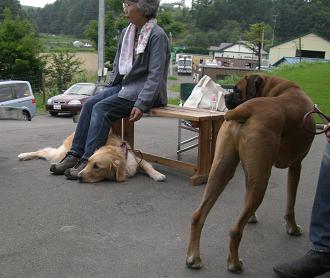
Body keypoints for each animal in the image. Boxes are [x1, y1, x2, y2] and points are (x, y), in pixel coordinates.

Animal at [187, 75, 316, 272]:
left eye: (237, 90)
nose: (226, 96)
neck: (277, 89)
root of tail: (247, 109)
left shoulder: (252, 171)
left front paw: (252, 216)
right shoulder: (296, 165)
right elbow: (291, 203)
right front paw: (293, 228)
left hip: (220, 172)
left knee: (197, 215)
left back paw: (194, 257)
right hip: (261, 182)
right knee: (235, 229)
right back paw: (234, 264)